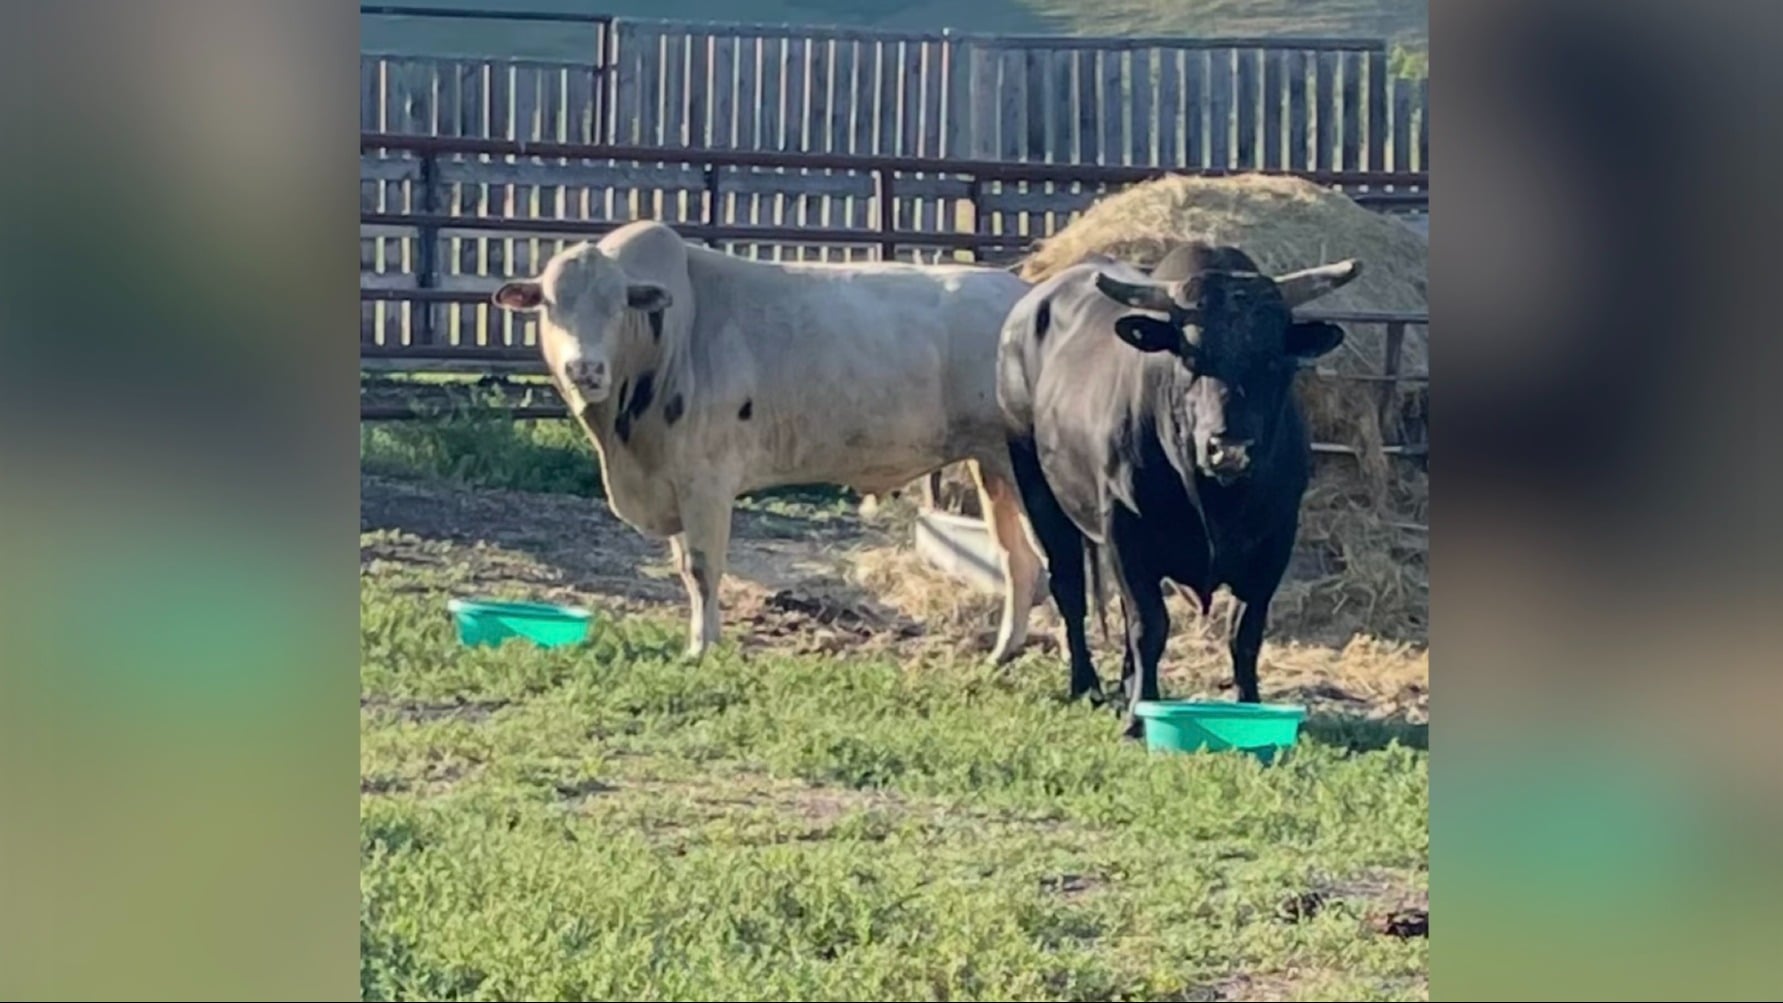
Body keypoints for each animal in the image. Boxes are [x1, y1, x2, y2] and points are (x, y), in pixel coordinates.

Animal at [490, 220, 1046, 664]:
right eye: (552, 304)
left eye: (617, 305)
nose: (585, 368)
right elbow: (686, 568)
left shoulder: (706, 481)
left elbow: (703, 569)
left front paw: (703, 647)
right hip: (993, 464)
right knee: (1018, 561)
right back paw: (1001, 654)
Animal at [995, 241, 1360, 738]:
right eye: (1190, 358)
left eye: (1272, 360)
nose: (1230, 448)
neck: (1216, 501)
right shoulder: (1125, 530)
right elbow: (1149, 626)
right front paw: (1137, 716)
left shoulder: (1276, 539)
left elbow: (1245, 632)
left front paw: (1248, 705)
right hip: (1037, 487)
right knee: (1069, 587)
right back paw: (1087, 685)